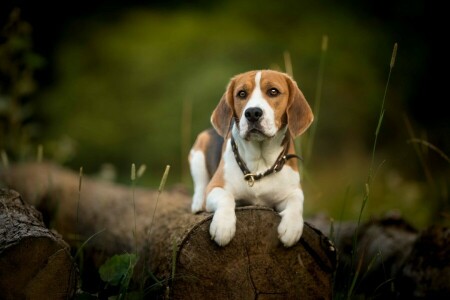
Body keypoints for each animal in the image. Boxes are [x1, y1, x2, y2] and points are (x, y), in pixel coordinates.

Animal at [189, 69, 312, 247]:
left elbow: (297, 202)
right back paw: (198, 203)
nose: (253, 113)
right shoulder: (216, 187)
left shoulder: (293, 190)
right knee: (200, 183)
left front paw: (292, 227)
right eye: (241, 94)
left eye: (273, 91)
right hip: (198, 150)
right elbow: (226, 197)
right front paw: (223, 225)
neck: (260, 163)